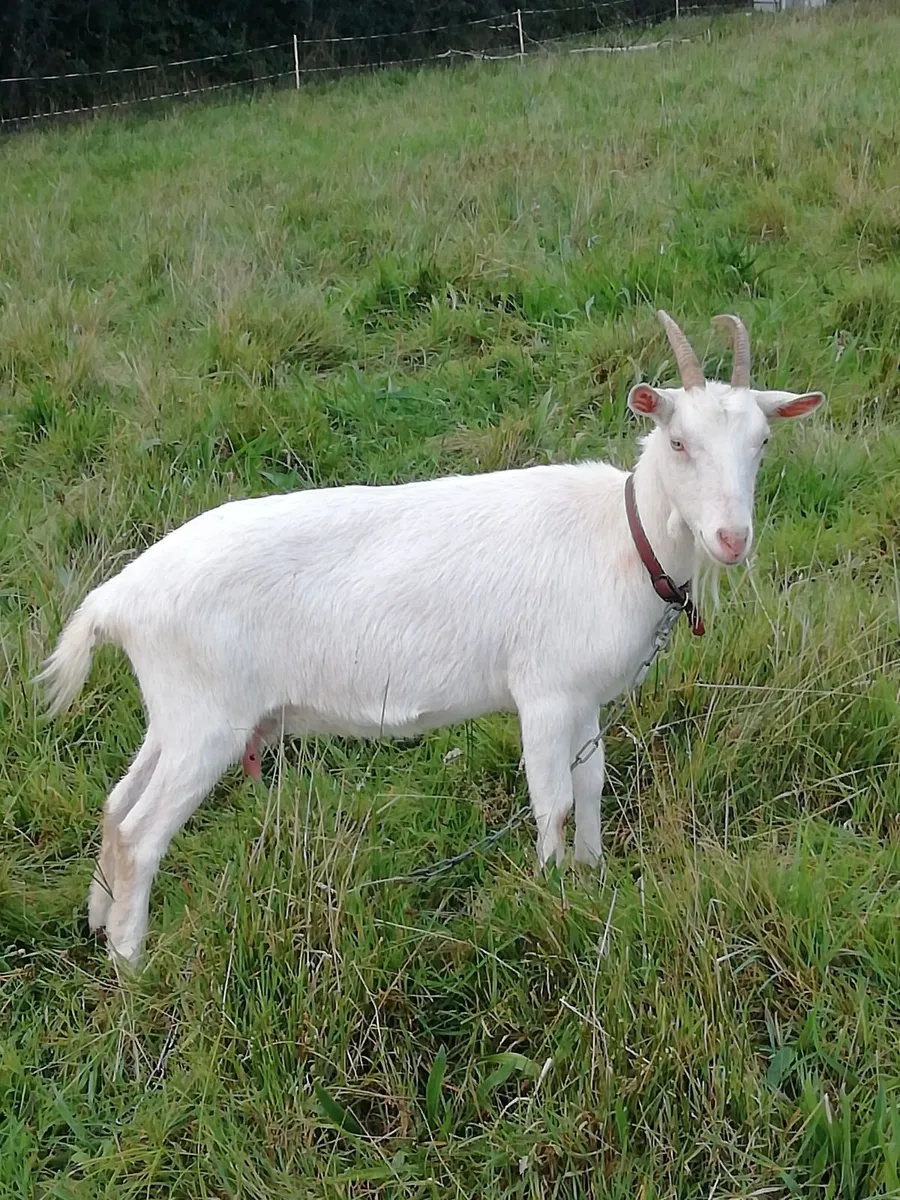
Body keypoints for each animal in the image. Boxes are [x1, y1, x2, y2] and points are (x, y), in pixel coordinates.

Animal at [37, 311, 824, 966]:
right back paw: (133, 963)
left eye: (762, 442)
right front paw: (549, 892)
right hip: (208, 721)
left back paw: (101, 922)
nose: (732, 539)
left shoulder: (584, 697)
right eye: (679, 441)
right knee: (142, 834)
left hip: (177, 713)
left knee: (116, 806)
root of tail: (119, 597)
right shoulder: (543, 692)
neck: (621, 538)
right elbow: (552, 799)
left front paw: (593, 875)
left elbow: (593, 786)